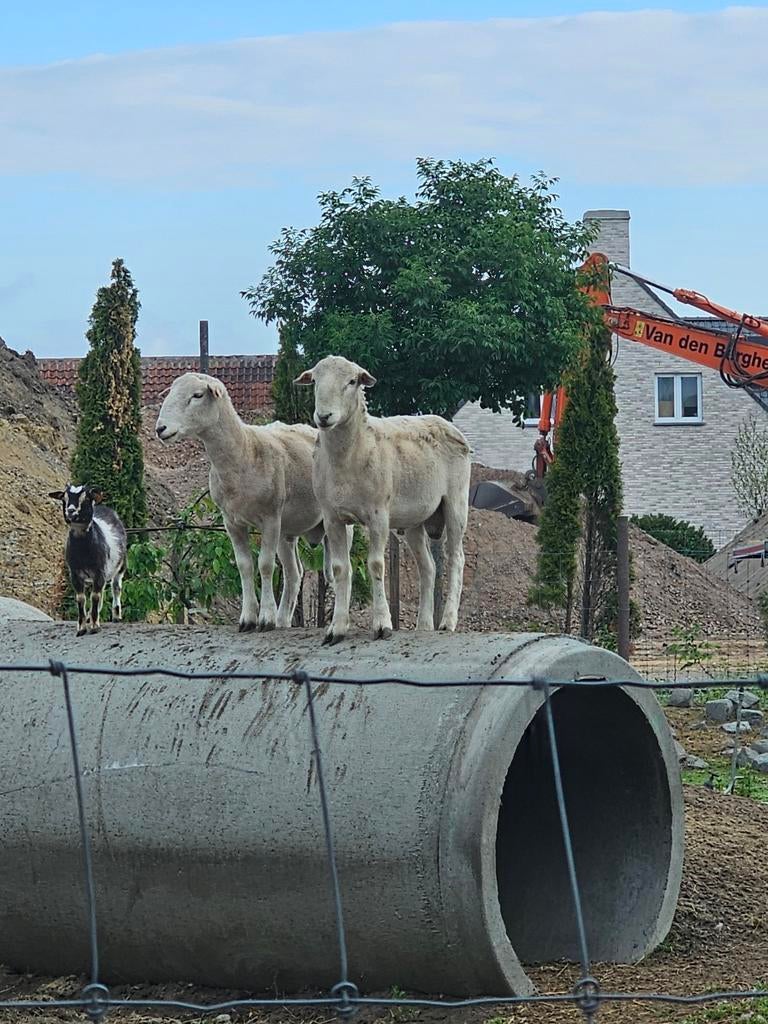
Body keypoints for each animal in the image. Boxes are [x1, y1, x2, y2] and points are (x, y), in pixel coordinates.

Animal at [48, 484, 127, 637]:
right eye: (64, 499)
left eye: (85, 498)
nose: (70, 511)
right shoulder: (75, 573)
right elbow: (81, 598)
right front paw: (82, 628)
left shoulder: (99, 571)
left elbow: (95, 596)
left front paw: (95, 627)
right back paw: (91, 616)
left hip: (120, 566)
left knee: (116, 587)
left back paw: (116, 616)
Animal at [155, 372, 329, 632]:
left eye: (197, 395)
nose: (160, 428)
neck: (244, 450)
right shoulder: (232, 522)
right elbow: (244, 565)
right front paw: (248, 618)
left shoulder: (270, 518)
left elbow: (265, 565)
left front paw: (265, 617)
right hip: (287, 531)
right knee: (294, 573)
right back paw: (282, 621)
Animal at [295, 354, 472, 644]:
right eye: (315, 381)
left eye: (352, 381)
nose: (324, 417)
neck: (349, 455)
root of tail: (447, 423)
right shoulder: (333, 518)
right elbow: (340, 568)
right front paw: (336, 628)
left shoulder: (378, 515)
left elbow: (376, 565)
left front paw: (382, 625)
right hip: (415, 520)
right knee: (428, 567)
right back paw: (424, 625)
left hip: (456, 502)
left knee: (456, 558)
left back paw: (448, 622)